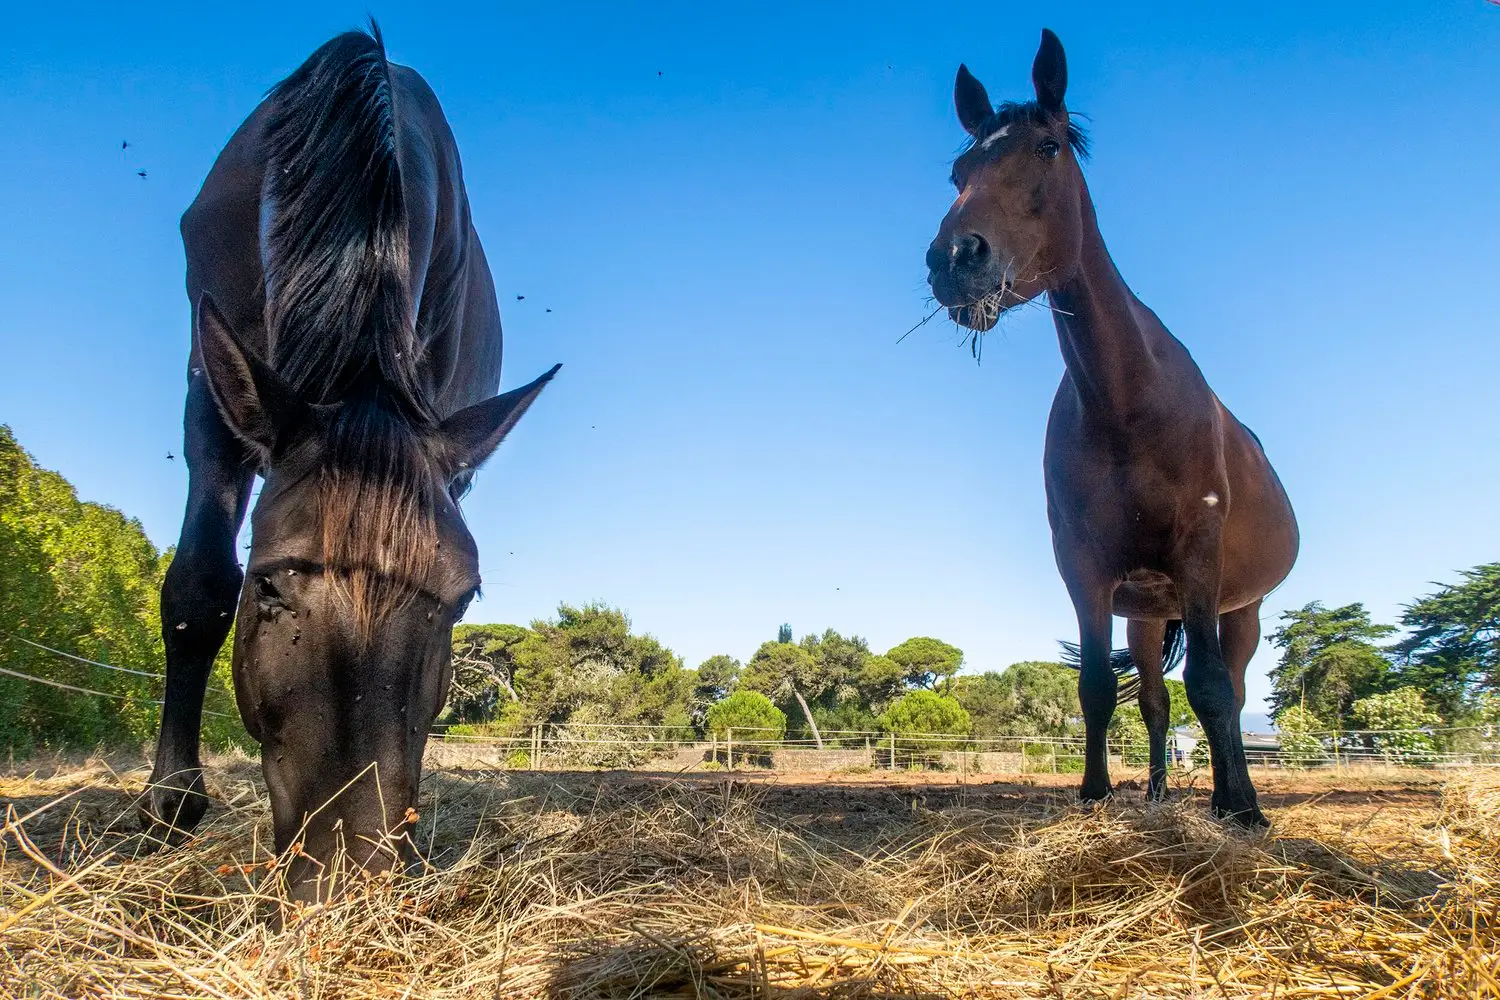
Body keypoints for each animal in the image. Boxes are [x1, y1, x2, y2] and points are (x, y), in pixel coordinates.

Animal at [138, 25, 560, 897]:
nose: (346, 870)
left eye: (462, 602)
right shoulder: (212, 390)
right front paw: (170, 802)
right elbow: (198, 583)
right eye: (268, 585)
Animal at [923, 30, 1297, 826]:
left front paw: (1241, 812)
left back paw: (1233, 797)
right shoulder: (1084, 566)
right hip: (1148, 615)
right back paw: (1157, 792)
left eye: (1047, 147)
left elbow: (1212, 690)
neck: (1127, 403)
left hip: (1240, 607)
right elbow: (1098, 688)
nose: (954, 261)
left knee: (1228, 688)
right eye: (959, 170)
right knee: (1157, 701)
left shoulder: (1198, 554)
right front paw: (1096, 797)